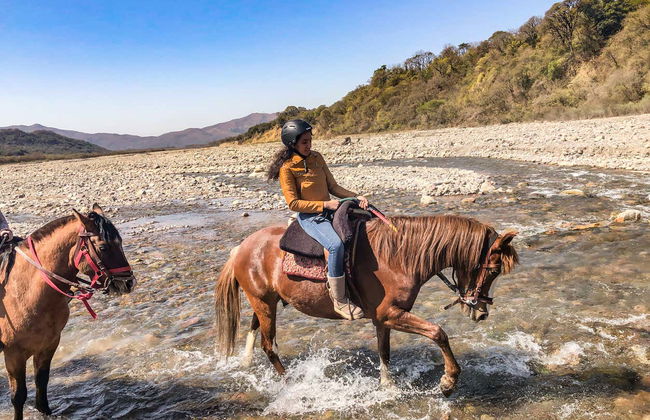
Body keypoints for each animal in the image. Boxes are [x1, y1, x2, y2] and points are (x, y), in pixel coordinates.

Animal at [0, 204, 135, 420]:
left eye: (120, 242)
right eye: (103, 247)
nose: (128, 283)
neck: (23, 291)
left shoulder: (49, 343)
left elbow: (42, 380)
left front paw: (45, 411)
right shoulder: (14, 354)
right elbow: (18, 396)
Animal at [214, 214, 518, 396]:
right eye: (493, 270)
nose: (482, 312)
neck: (397, 257)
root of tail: (240, 248)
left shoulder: (383, 318)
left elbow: (385, 352)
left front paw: (388, 385)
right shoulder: (391, 314)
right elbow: (438, 332)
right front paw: (448, 382)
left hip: (267, 302)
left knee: (254, 330)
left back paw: (246, 364)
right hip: (265, 303)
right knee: (269, 345)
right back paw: (291, 382)